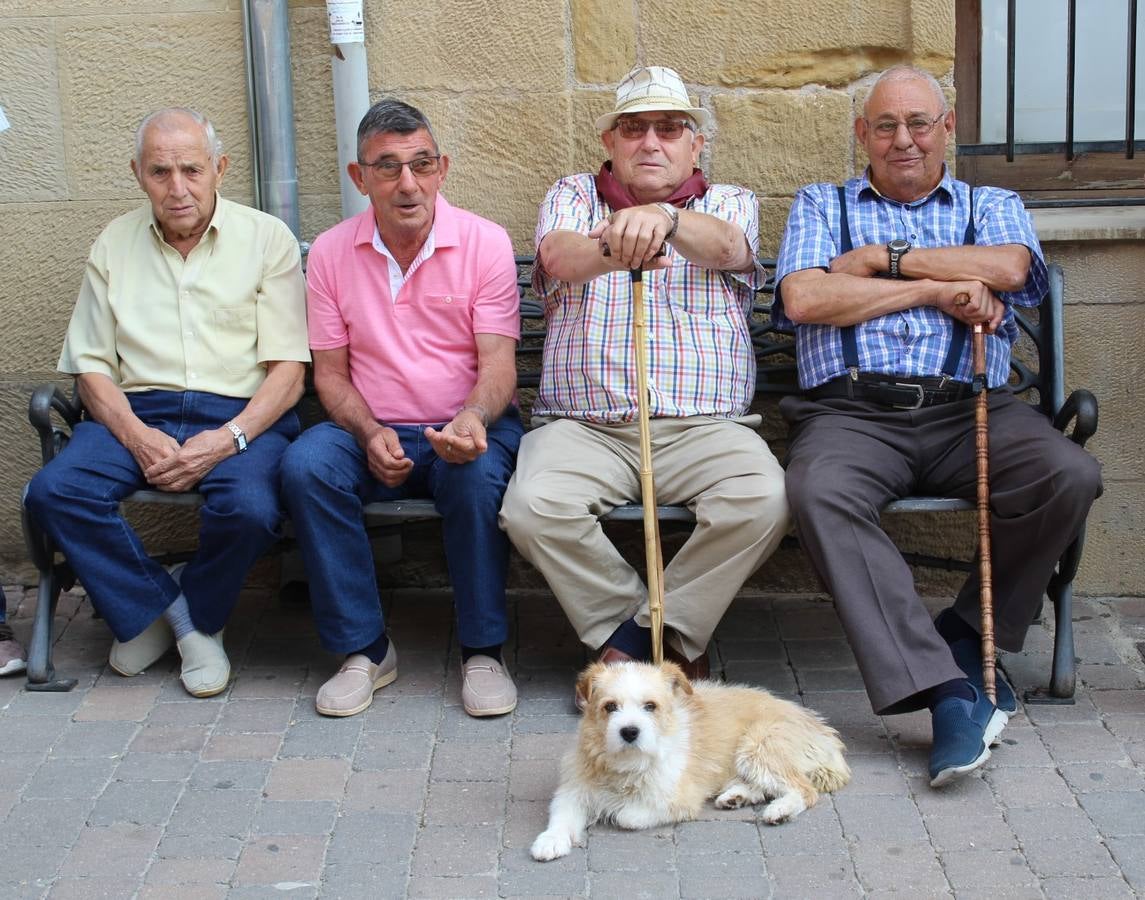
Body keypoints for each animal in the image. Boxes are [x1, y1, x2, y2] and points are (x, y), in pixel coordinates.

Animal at [528, 659, 851, 856]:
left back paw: (779, 810)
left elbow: (627, 815)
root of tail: (820, 728)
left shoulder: (680, 800)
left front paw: (616, 811)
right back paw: (737, 796)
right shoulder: (575, 789)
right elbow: (562, 814)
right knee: (765, 786)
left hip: (758, 746)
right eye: (610, 706)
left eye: (650, 706)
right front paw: (551, 839)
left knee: (804, 790)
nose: (629, 731)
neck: (628, 762)